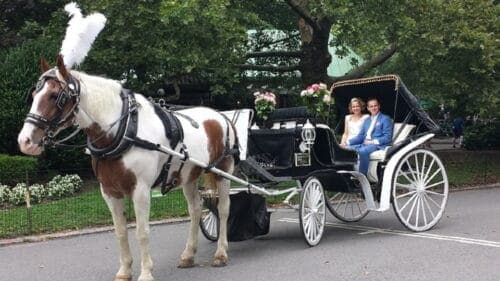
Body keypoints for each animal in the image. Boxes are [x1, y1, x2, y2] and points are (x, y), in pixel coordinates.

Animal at [18, 54, 236, 280]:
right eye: (34, 94)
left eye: (55, 96)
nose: (25, 141)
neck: (124, 131)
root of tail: (221, 116)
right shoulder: (110, 192)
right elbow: (121, 231)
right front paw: (124, 271)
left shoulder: (140, 191)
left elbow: (142, 232)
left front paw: (146, 272)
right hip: (188, 176)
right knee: (195, 209)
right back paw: (188, 255)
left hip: (224, 171)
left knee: (223, 209)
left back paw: (221, 253)